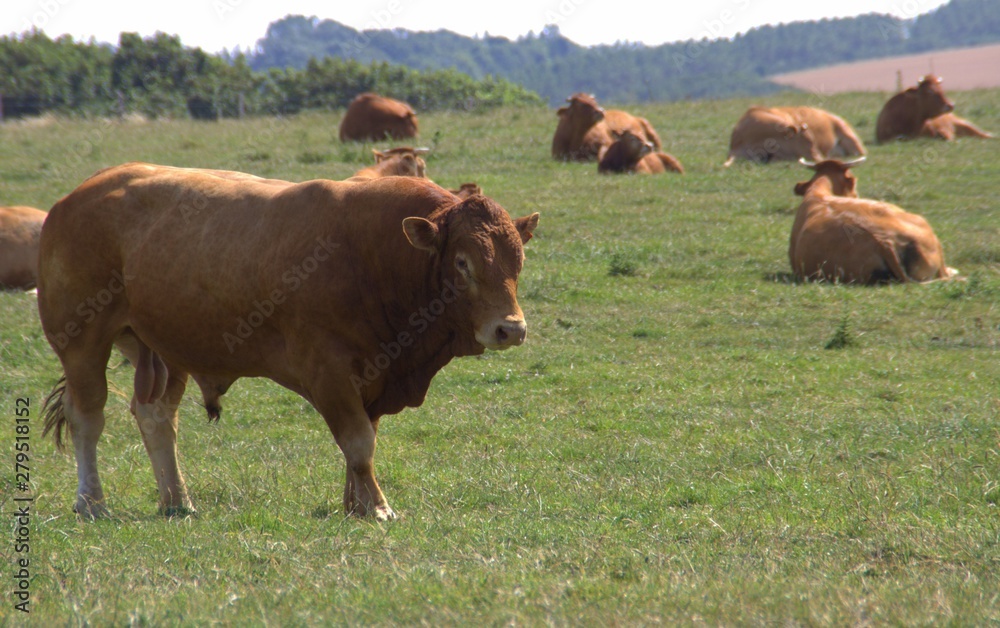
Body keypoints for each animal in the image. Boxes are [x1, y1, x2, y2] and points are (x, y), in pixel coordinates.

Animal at [37, 162, 540, 520]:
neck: (372, 253)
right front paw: (377, 507)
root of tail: (75, 197)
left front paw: (354, 504)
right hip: (82, 341)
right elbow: (359, 441)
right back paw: (92, 502)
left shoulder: (376, 372)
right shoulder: (328, 370)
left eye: (517, 260)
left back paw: (177, 499)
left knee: (156, 417)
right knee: (87, 417)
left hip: (163, 347)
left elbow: (363, 441)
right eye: (462, 263)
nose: (510, 328)